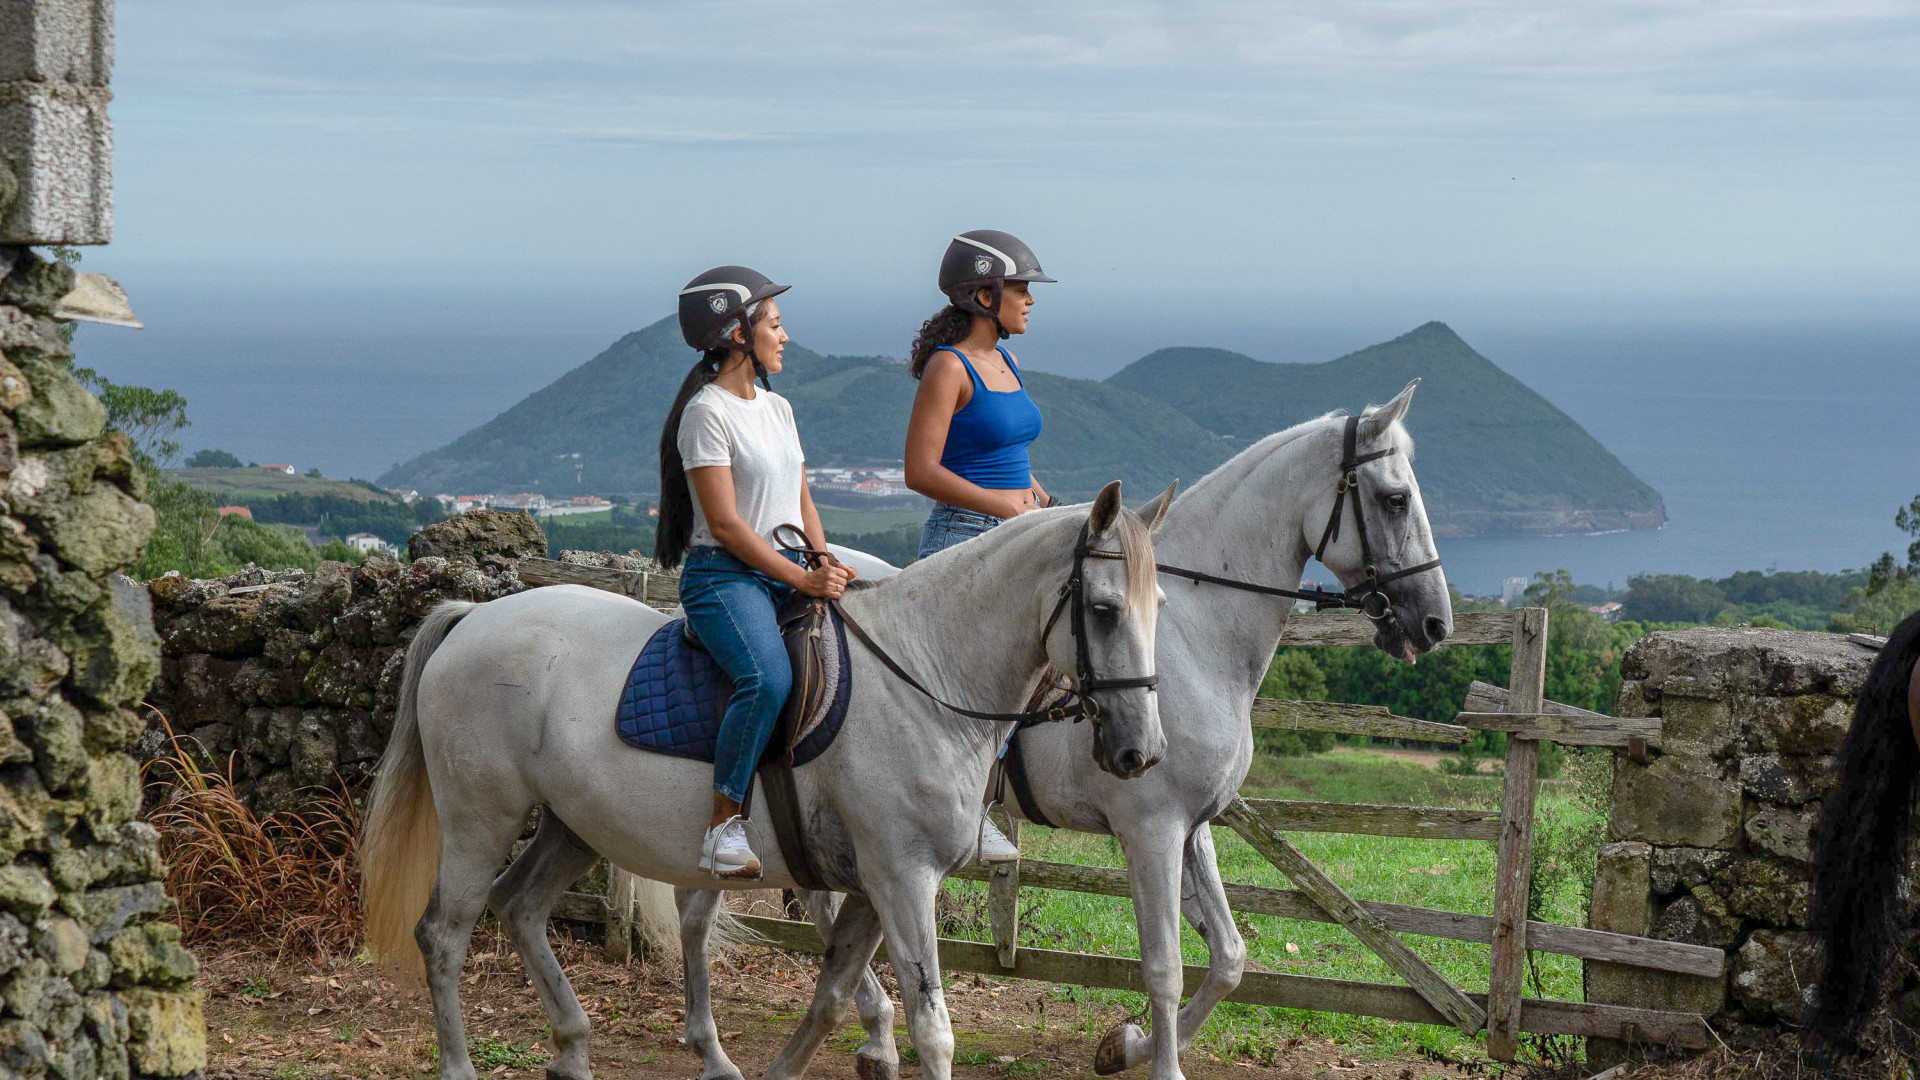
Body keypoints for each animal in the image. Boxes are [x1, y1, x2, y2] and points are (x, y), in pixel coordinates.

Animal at [357, 484, 1167, 1076]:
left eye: (1157, 606)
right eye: (1103, 609)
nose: (1140, 752)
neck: (924, 677)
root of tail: (473, 617)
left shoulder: (869, 889)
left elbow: (832, 997)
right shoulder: (903, 880)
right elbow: (931, 1028)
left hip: (572, 825)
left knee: (520, 907)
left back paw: (575, 1048)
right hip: (480, 820)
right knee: (444, 933)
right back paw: (464, 1064)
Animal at [668, 382, 1443, 1076]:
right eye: (1395, 499)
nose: (1434, 622)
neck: (1194, 637)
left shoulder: (1192, 824)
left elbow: (1229, 959)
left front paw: (1121, 1047)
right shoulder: (1150, 826)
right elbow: (1164, 967)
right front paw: (1149, 1055)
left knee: (783, 902)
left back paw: (857, 1037)